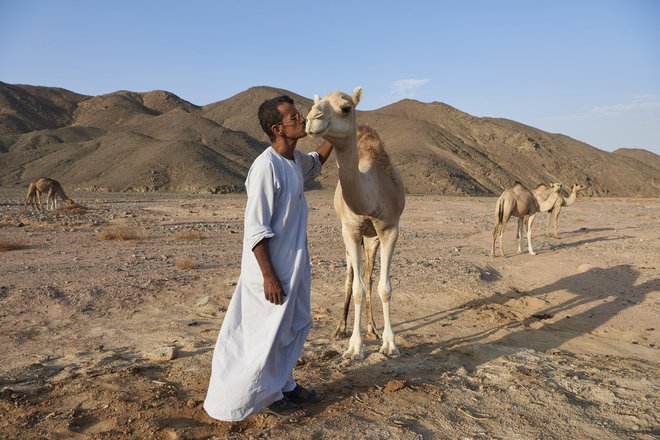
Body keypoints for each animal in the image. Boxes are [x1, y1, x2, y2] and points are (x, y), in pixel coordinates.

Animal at [306, 87, 408, 360]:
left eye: (346, 108)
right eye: (317, 102)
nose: (311, 119)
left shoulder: (389, 229)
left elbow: (384, 287)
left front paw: (389, 344)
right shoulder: (350, 230)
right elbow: (357, 289)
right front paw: (354, 347)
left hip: (371, 237)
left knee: (369, 275)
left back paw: (372, 329)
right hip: (351, 236)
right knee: (352, 276)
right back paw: (340, 329)